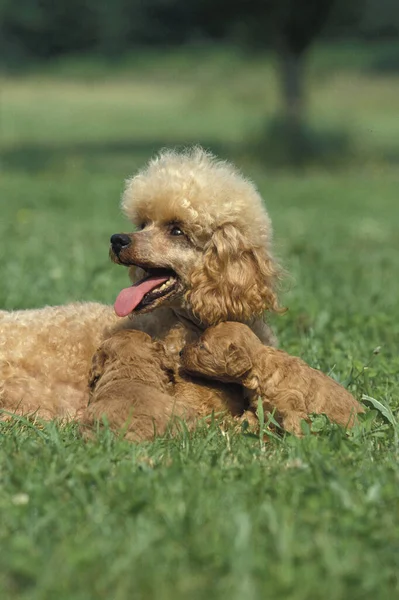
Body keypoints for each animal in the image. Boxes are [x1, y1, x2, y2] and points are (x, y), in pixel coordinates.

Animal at [181, 322, 366, 434]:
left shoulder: (293, 407)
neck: (261, 370)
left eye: (202, 346)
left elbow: (295, 426)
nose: (180, 352)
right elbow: (248, 419)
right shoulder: (258, 408)